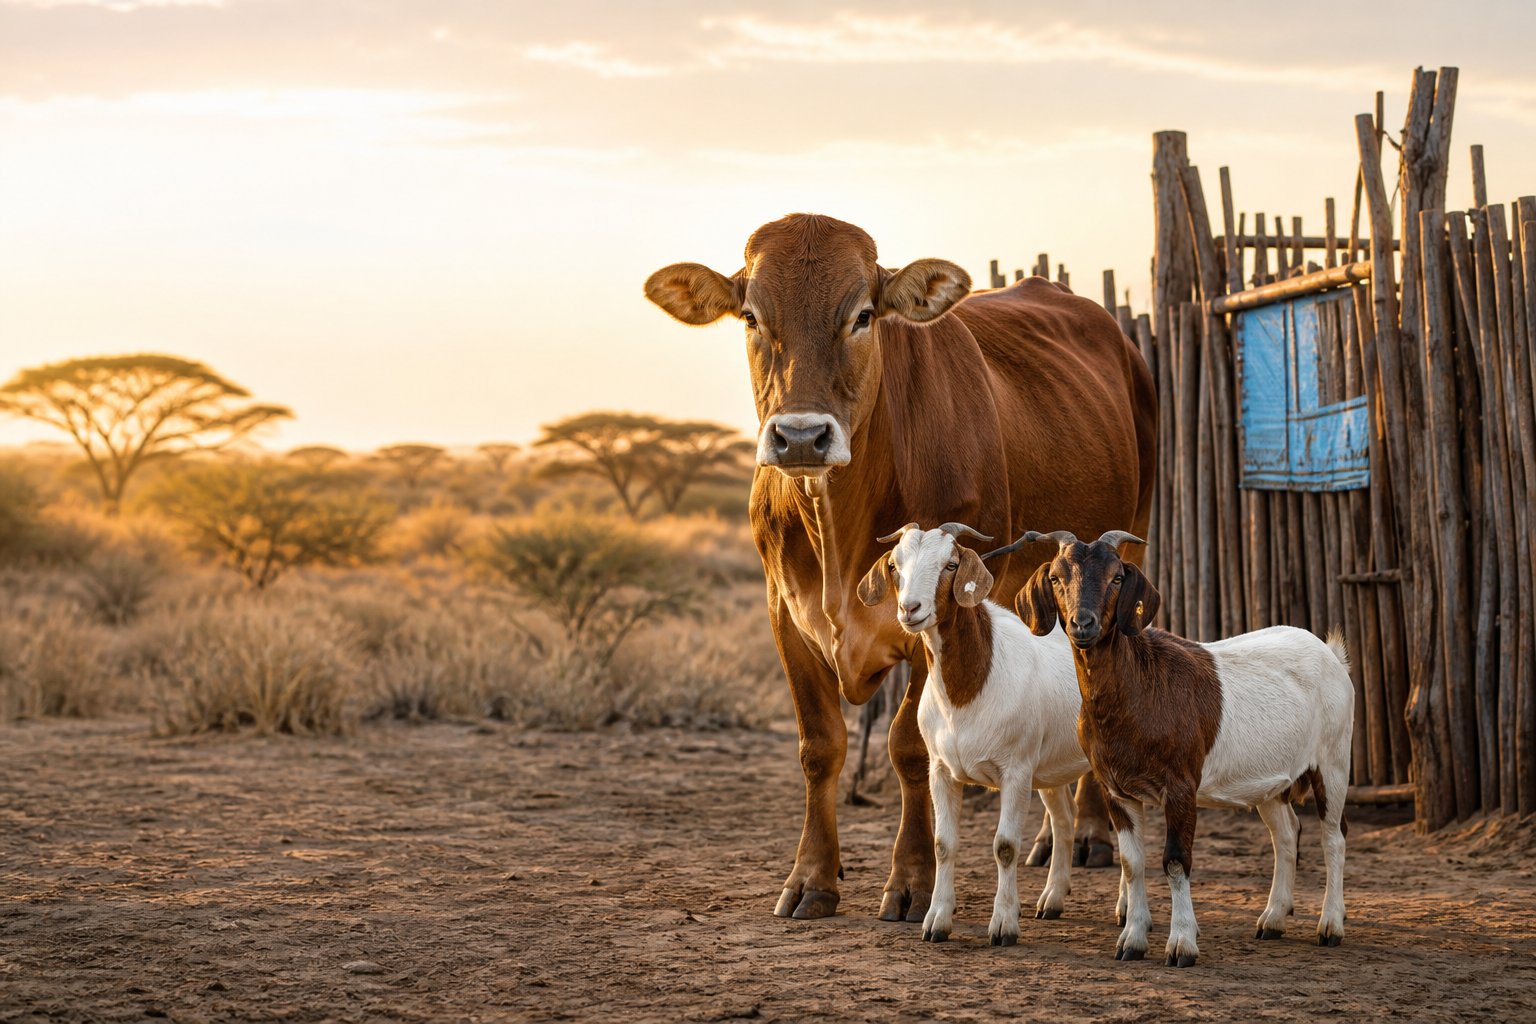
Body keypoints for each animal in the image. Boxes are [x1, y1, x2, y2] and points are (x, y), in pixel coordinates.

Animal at [858, 522, 1090, 946]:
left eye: (950, 565)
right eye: (895, 566)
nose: (909, 609)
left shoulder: (1016, 772)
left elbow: (1005, 846)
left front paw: (1003, 926)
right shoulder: (941, 770)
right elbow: (943, 845)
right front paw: (936, 921)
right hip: (1050, 768)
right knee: (1066, 818)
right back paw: (1052, 900)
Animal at [1016, 529, 1353, 967]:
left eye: (1116, 577)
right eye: (1056, 577)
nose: (1082, 623)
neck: (1140, 688)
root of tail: (1331, 654)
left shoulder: (1180, 787)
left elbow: (1175, 861)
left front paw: (1181, 945)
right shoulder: (1116, 789)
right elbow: (1132, 863)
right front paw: (1131, 941)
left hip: (1333, 760)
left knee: (1334, 836)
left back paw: (1330, 926)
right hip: (1271, 780)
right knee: (1287, 834)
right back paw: (1273, 920)